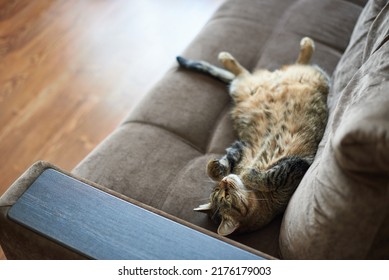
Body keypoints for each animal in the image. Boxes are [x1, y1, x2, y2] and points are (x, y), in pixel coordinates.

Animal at [176, 36, 328, 234]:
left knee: (258, 70)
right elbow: (266, 176)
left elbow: (252, 170)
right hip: (244, 87)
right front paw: (244, 173)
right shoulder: (282, 163)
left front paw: (217, 168)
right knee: (245, 73)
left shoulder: (289, 165)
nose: (225, 181)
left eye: (223, 193)